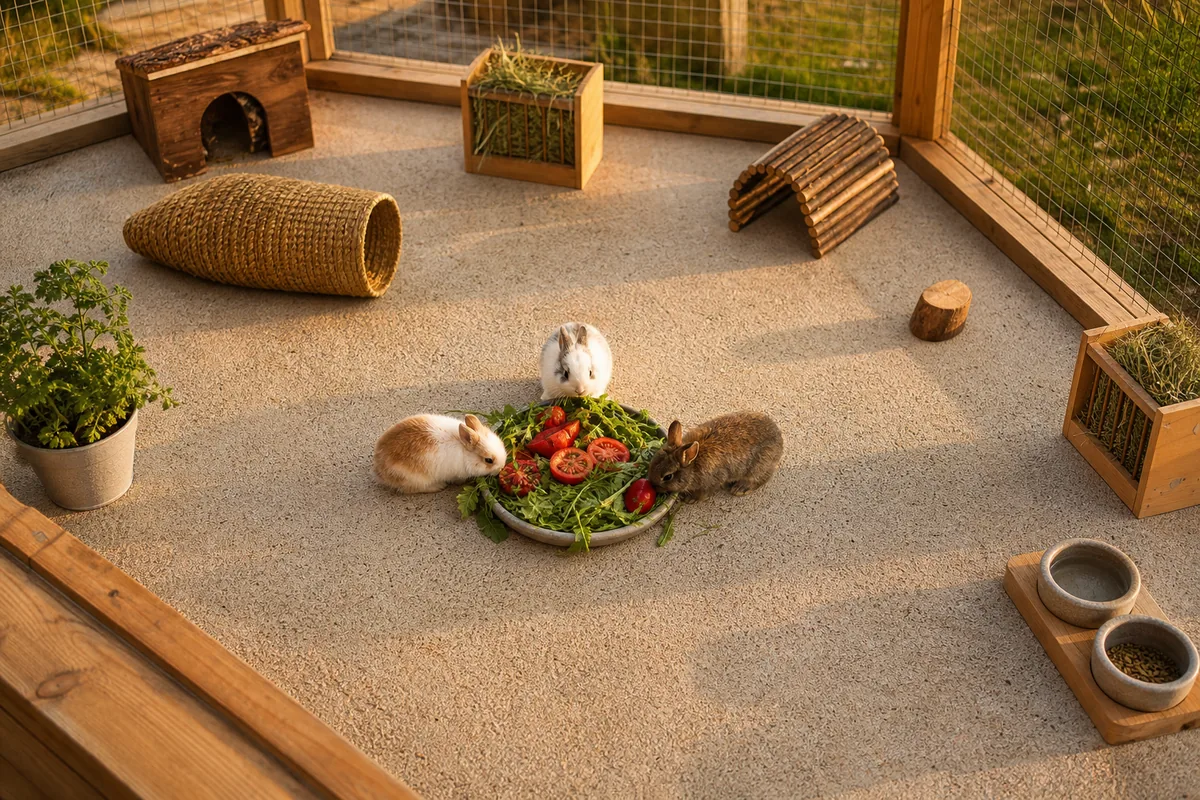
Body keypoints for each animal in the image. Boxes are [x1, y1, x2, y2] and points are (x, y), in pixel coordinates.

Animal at [374, 413, 506, 494]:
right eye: (488, 460)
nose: (500, 469)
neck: (464, 450)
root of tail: (380, 470)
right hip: (414, 479)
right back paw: (439, 486)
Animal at [648, 412, 783, 503]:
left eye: (668, 477)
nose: (653, 487)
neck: (693, 465)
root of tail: (780, 439)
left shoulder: (713, 481)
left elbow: (703, 494)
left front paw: (689, 499)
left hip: (758, 466)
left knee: (761, 478)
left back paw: (740, 488)